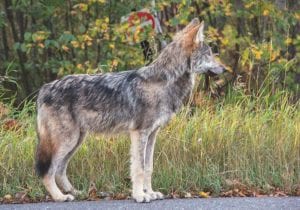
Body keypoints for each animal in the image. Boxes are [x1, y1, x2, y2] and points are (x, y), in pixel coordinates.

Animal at [35, 18, 225, 203]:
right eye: (209, 54)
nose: (224, 69)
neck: (163, 82)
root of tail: (44, 88)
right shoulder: (139, 133)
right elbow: (139, 168)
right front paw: (140, 196)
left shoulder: (152, 134)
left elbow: (148, 167)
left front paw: (151, 193)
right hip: (67, 141)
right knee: (48, 172)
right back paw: (60, 197)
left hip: (76, 141)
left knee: (60, 170)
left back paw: (77, 193)